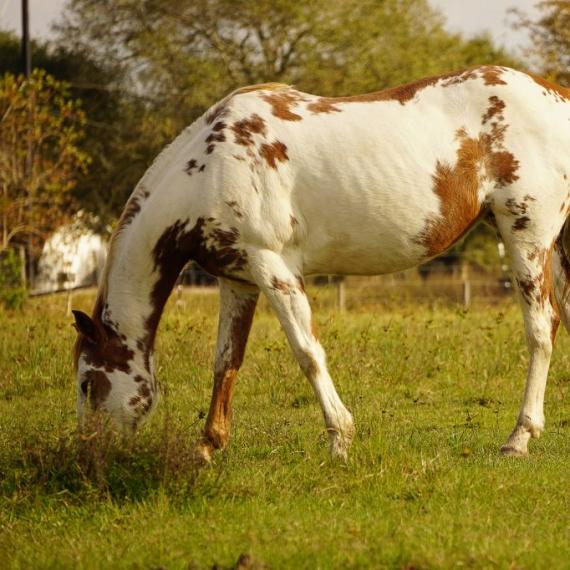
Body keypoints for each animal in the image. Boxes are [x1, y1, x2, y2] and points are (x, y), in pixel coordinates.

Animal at [73, 65, 568, 462]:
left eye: (86, 384)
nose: (89, 456)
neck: (209, 170)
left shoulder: (273, 268)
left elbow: (307, 353)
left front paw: (339, 440)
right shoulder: (238, 281)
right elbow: (225, 362)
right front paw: (207, 447)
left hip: (526, 238)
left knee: (541, 328)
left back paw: (518, 439)